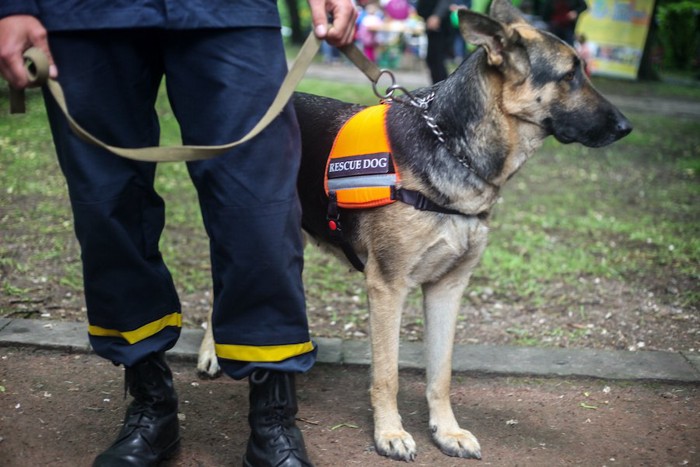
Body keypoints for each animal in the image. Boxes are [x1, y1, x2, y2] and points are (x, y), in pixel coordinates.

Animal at [196, 0, 628, 460]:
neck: (450, 145)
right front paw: (389, 432)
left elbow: (441, 374)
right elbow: (388, 373)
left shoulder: (447, 289)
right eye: (570, 75)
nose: (625, 126)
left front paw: (447, 430)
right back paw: (212, 354)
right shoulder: (388, 286)